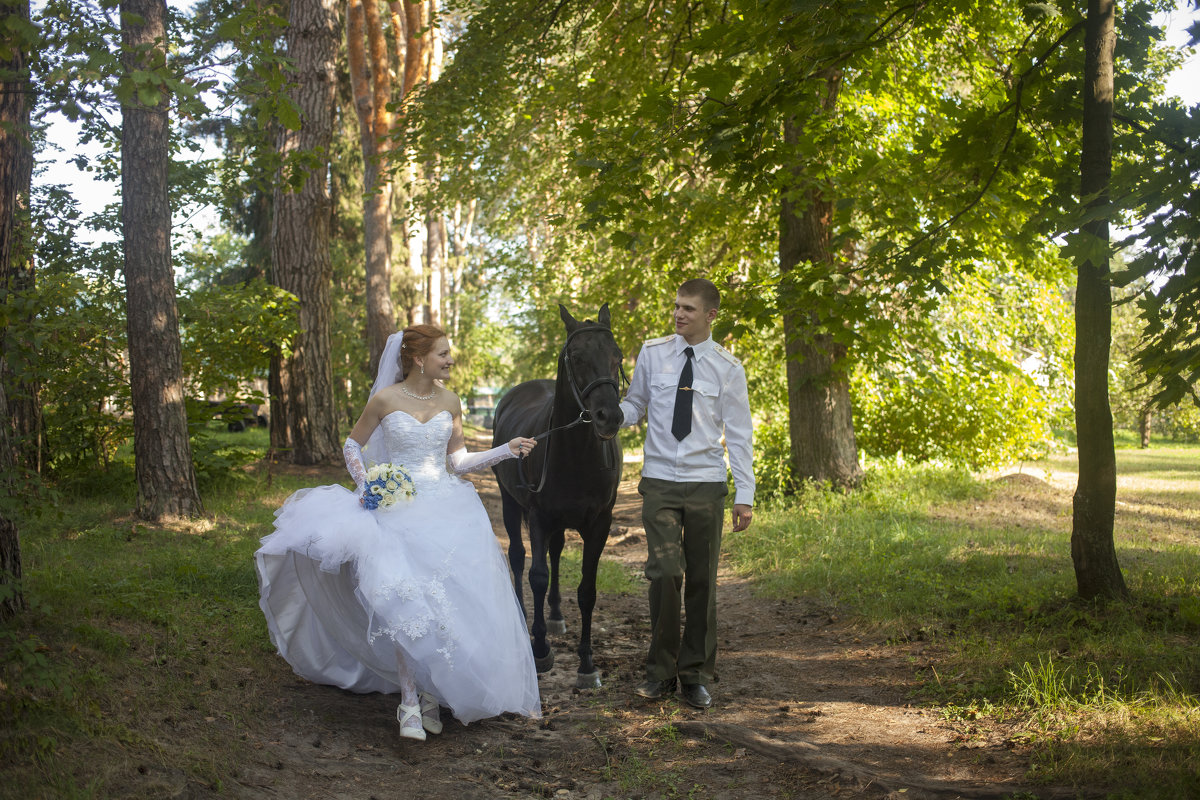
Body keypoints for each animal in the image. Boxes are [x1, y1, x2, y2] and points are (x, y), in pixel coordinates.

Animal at [489, 303, 624, 690]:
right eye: (576, 357)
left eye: (618, 356)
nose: (609, 417)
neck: (576, 454)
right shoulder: (538, 516)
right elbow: (537, 575)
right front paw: (541, 650)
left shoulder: (600, 524)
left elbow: (587, 590)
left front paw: (587, 664)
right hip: (510, 503)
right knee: (518, 557)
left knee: (557, 551)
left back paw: (556, 615)